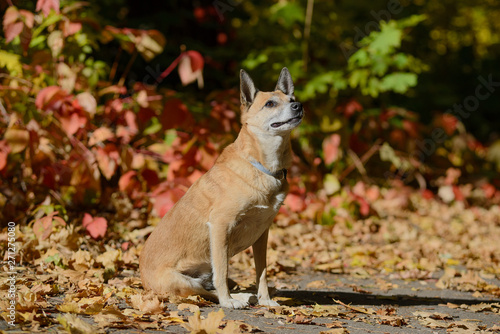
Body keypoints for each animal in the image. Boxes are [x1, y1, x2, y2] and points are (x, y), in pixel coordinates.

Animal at [141, 67, 304, 308]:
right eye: (270, 104)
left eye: (291, 100)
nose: (298, 106)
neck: (261, 165)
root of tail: (143, 282)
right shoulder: (220, 225)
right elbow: (222, 270)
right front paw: (228, 302)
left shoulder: (262, 235)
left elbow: (262, 272)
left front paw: (266, 300)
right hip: (180, 281)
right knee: (205, 292)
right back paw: (235, 299)